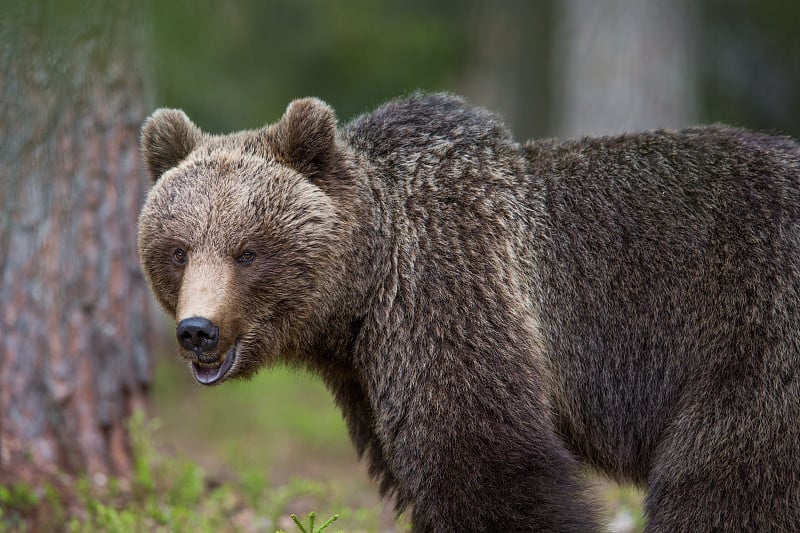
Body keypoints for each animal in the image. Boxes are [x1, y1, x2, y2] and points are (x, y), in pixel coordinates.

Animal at [138, 93, 800, 528]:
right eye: (178, 249)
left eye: (248, 252)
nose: (197, 331)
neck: (358, 296)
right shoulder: (369, 377)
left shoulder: (452, 292)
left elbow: (484, 461)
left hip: (754, 334)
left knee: (722, 481)